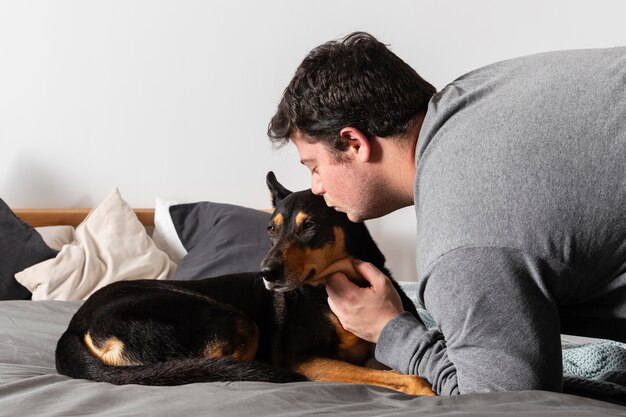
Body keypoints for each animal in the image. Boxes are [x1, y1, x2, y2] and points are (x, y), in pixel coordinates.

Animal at [54, 171, 434, 394]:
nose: (265, 273)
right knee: (217, 371)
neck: (340, 283)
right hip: (233, 321)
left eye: (310, 225)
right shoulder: (304, 359)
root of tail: (76, 325)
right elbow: (413, 377)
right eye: (271, 229)